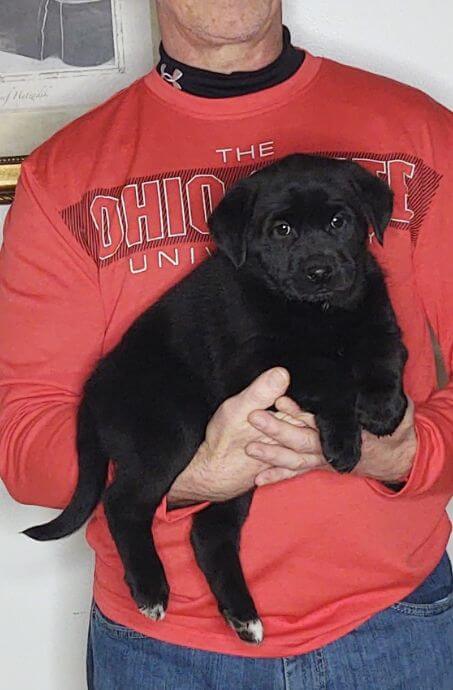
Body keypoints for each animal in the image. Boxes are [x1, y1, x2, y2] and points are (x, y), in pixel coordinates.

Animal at [23, 156, 406, 644]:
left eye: (339, 222)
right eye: (282, 229)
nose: (319, 271)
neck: (318, 312)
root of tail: (92, 391)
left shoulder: (375, 310)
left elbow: (384, 350)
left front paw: (383, 407)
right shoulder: (259, 361)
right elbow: (326, 375)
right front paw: (343, 439)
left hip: (232, 476)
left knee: (208, 532)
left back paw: (243, 615)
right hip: (171, 431)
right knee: (123, 503)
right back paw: (151, 590)